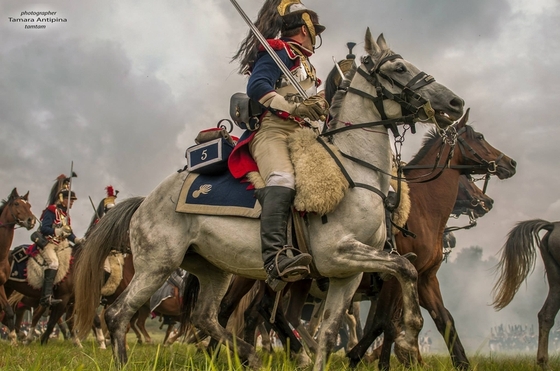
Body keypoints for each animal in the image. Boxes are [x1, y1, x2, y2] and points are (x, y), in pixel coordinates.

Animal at [73, 29, 464, 371]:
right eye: (399, 69)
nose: (455, 101)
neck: (356, 173)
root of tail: (145, 201)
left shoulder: (347, 275)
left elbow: (329, 334)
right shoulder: (340, 253)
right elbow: (404, 269)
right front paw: (409, 336)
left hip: (213, 269)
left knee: (206, 317)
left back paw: (250, 355)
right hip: (157, 265)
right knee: (118, 315)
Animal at [348, 111, 520, 371]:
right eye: (479, 137)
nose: (510, 164)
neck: (421, 209)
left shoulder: (425, 278)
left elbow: (444, 319)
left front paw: (461, 363)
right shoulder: (394, 278)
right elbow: (385, 322)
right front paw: (365, 358)